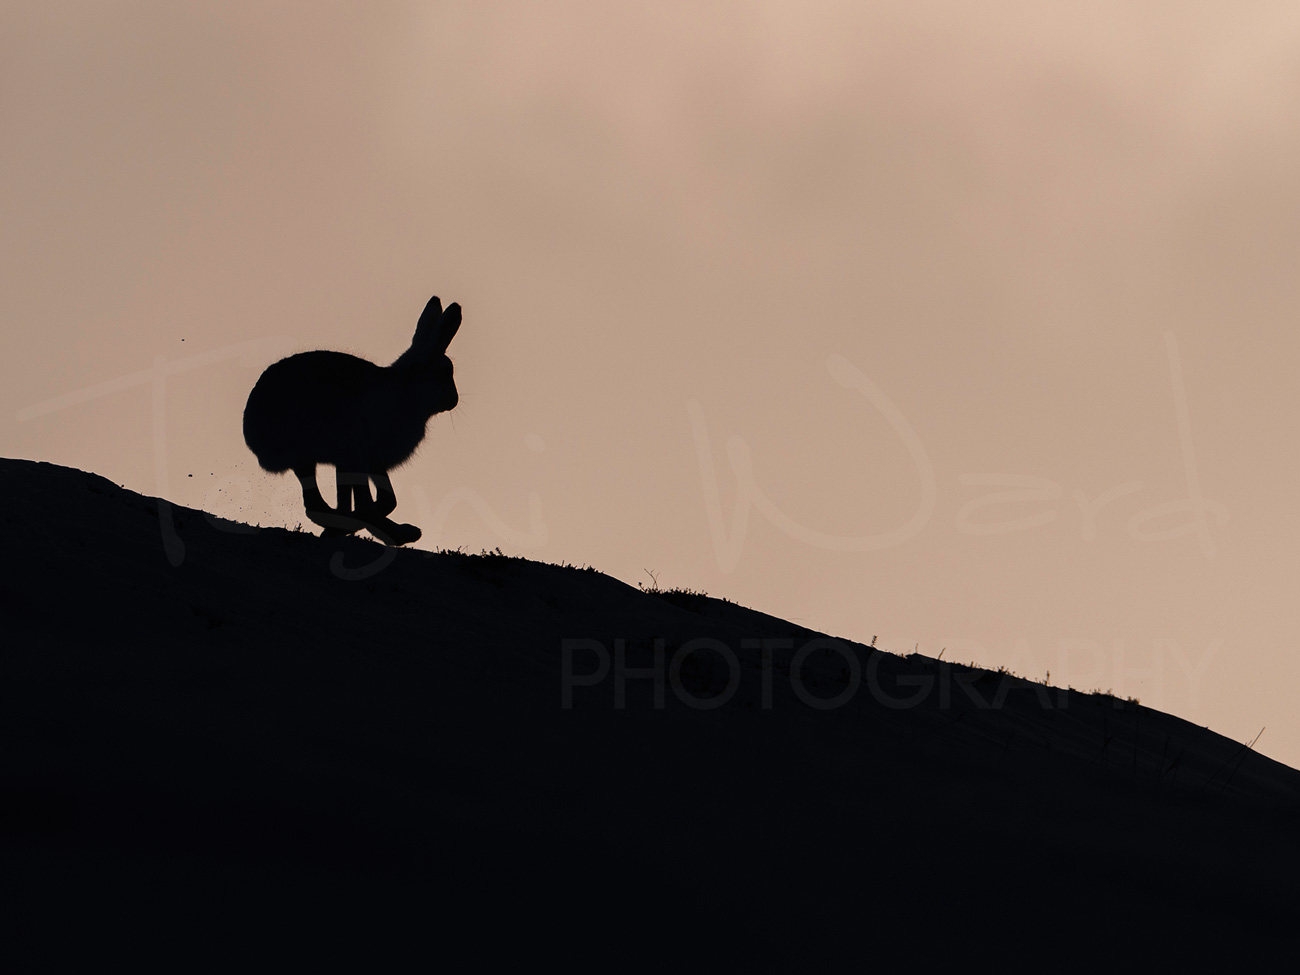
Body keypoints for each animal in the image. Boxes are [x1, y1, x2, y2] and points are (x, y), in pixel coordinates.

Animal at [243, 294, 462, 546]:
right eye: (445, 372)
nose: (454, 400)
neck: (409, 388)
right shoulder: (366, 455)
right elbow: (383, 501)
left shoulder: (373, 463)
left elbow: (388, 499)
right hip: (347, 446)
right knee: (355, 506)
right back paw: (400, 533)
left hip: (326, 458)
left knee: (321, 503)